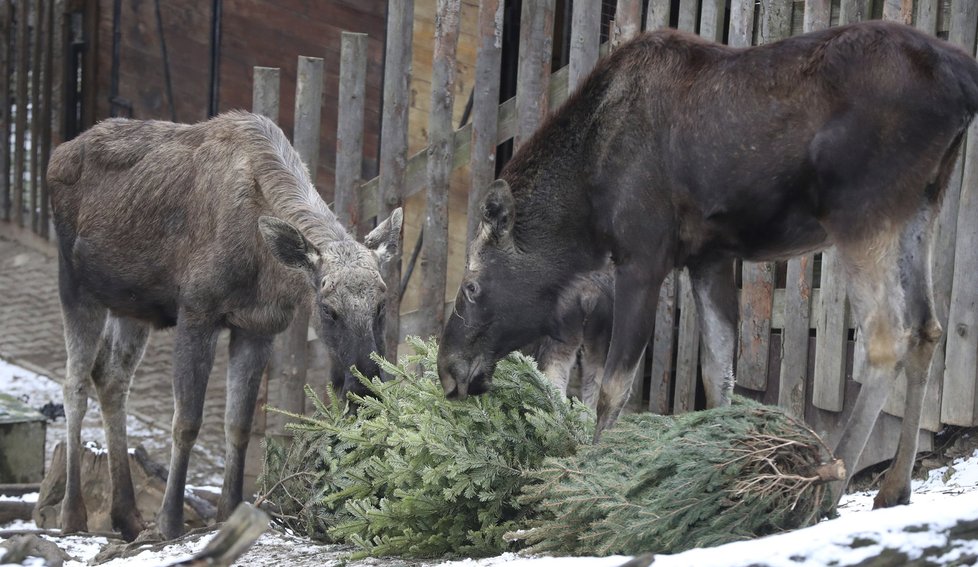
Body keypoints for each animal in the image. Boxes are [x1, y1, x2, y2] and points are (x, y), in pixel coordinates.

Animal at [48, 111, 400, 540]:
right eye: (328, 308)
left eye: (382, 303)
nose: (366, 385)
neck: (266, 267)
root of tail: (57, 154)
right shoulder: (197, 312)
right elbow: (186, 422)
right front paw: (169, 522)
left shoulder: (258, 326)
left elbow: (240, 425)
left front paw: (228, 513)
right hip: (76, 284)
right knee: (74, 383)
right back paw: (72, 515)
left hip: (131, 307)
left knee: (111, 378)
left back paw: (127, 515)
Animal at [438, 22, 976, 510]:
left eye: (471, 285)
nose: (447, 369)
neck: (587, 193)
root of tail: (964, 81)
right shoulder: (710, 256)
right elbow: (719, 376)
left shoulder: (643, 256)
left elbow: (613, 389)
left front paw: (588, 488)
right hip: (923, 203)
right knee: (928, 327)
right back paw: (893, 488)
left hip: (860, 207)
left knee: (887, 337)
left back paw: (831, 487)